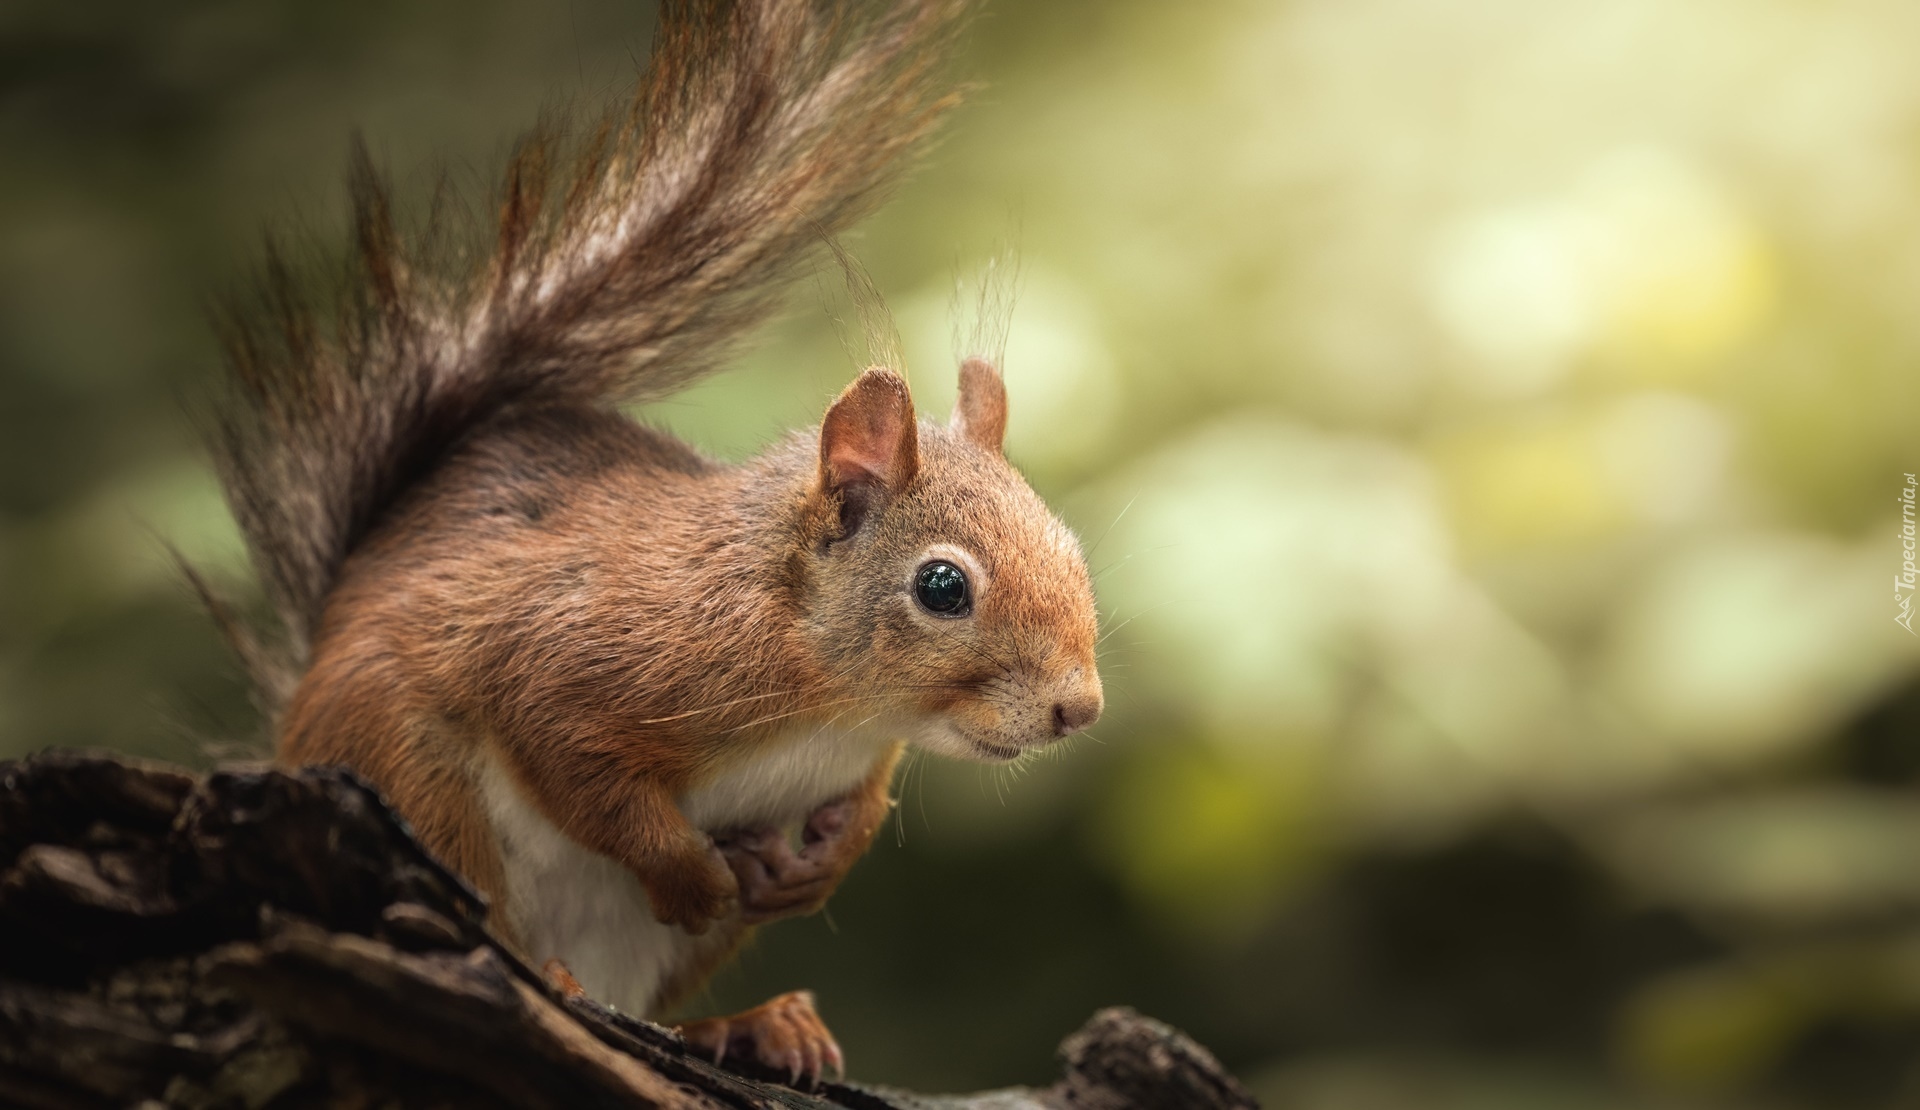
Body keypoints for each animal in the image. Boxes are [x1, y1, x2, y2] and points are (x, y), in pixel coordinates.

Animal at [202, 0, 1105, 1083]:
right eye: (941, 587)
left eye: (1073, 547)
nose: (1080, 708)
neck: (832, 703)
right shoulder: (581, 654)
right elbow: (581, 769)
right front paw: (695, 876)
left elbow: (861, 804)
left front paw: (822, 861)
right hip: (406, 776)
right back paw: (560, 979)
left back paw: (749, 1025)